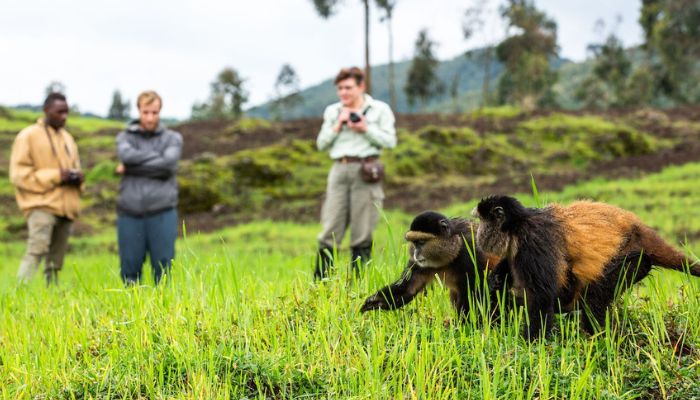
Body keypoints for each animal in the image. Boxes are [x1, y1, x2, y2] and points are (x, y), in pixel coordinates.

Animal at [361, 210, 500, 319]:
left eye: (421, 242)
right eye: (414, 243)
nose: (416, 254)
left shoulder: (471, 252)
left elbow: (476, 292)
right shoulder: (418, 265)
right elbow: (408, 289)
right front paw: (373, 302)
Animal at [473, 195, 700, 340]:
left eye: (483, 222)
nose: (478, 233)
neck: (517, 225)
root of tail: (640, 229)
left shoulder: (533, 240)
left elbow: (542, 296)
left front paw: (530, 343)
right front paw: (497, 278)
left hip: (632, 259)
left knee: (593, 299)